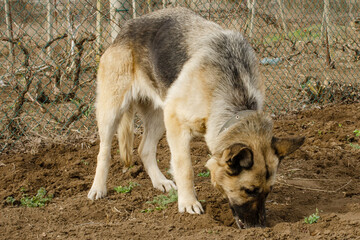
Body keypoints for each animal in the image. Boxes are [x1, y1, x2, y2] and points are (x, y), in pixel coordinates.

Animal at [88, 7, 306, 229]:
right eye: (248, 190)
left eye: (268, 191)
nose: (259, 228)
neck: (235, 98)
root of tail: (124, 29)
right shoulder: (176, 123)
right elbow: (186, 168)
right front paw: (188, 203)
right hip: (112, 112)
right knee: (104, 152)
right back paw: (98, 188)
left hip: (159, 115)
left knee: (144, 149)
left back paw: (160, 182)